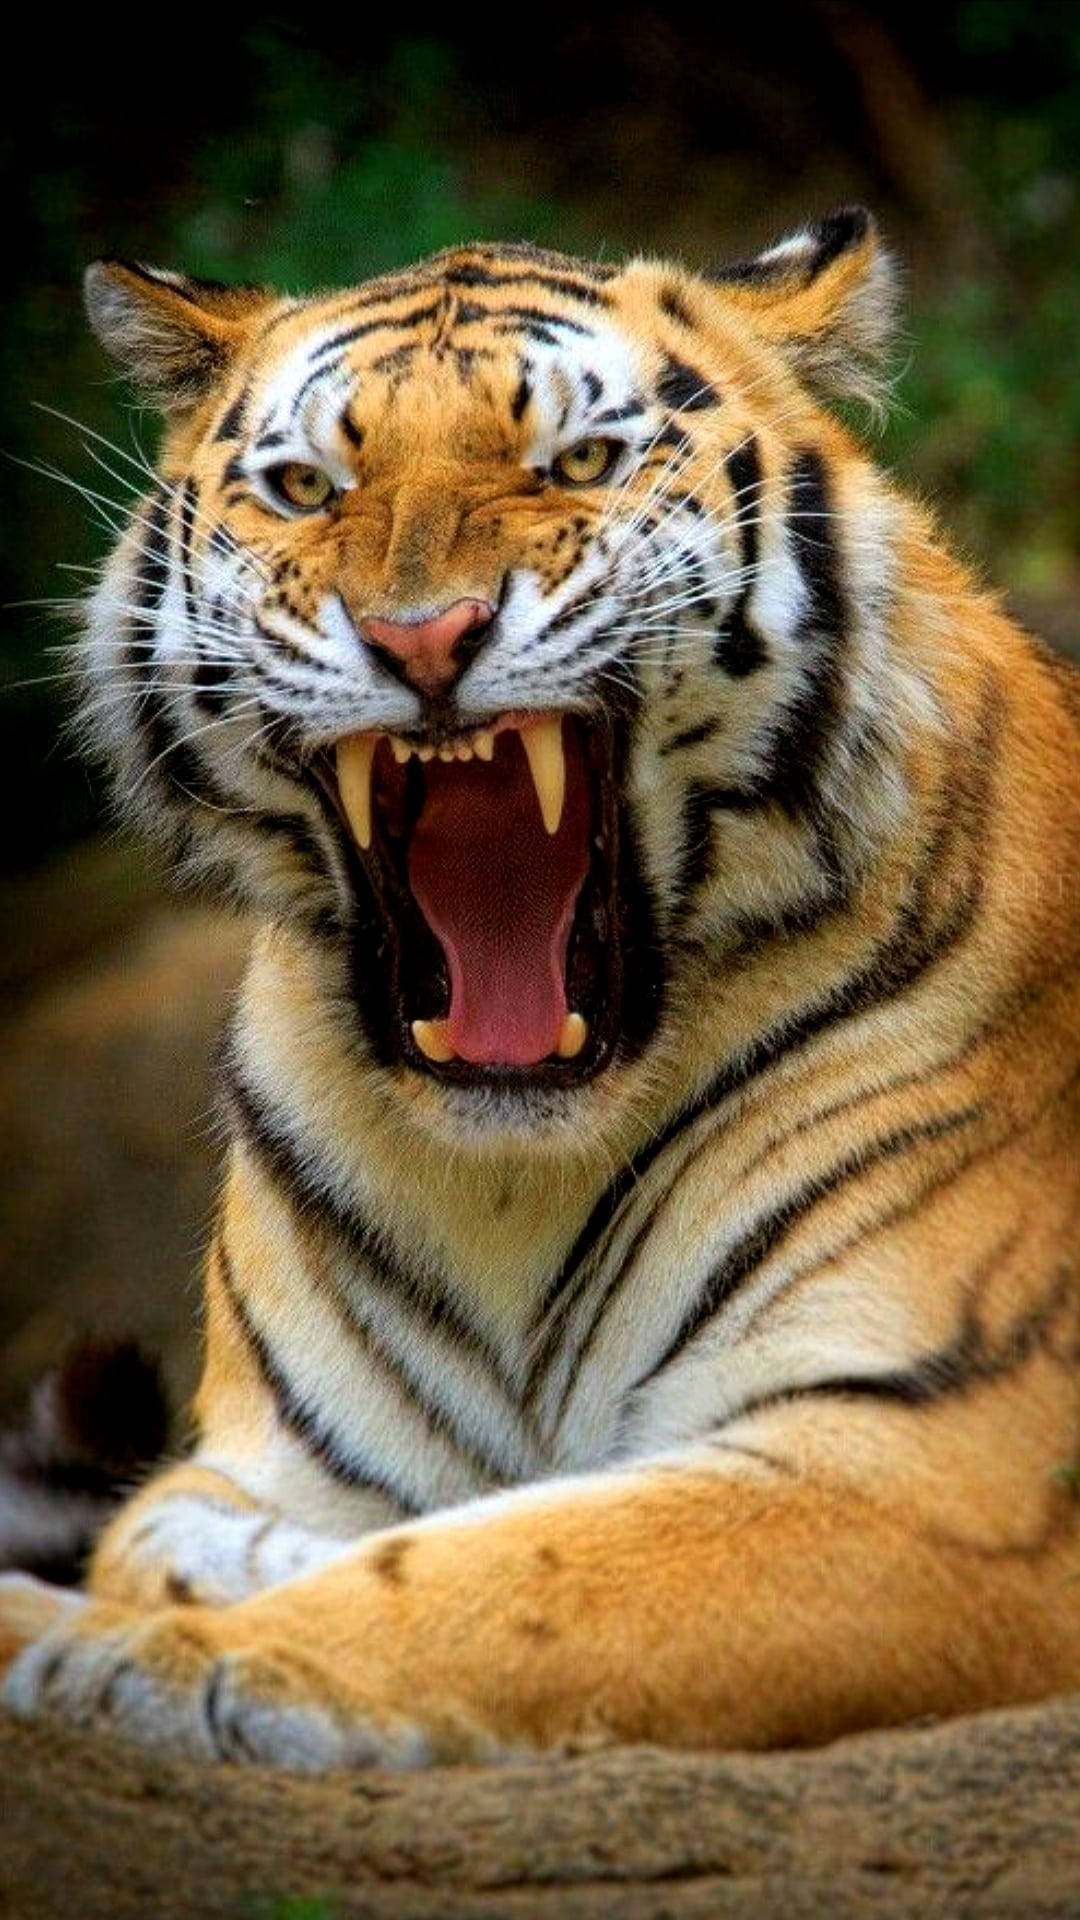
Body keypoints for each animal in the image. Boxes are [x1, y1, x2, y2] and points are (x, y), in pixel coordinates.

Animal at [2, 206, 1080, 1772]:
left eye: (575, 463)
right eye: (308, 487)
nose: (423, 637)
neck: (512, 1177)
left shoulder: (933, 1464)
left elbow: (528, 1569)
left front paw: (161, 1662)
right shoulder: (277, 1454)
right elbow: (166, 1524)